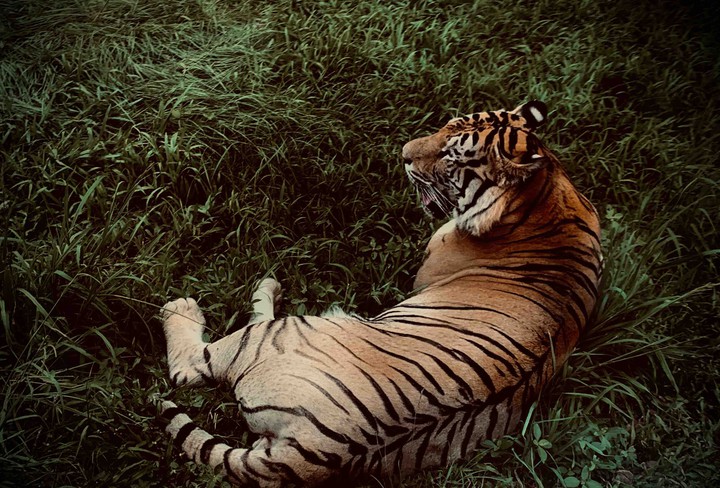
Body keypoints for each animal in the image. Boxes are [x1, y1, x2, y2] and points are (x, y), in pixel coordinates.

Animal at [158, 100, 603, 487]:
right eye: (446, 124)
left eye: (452, 157)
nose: (403, 154)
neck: (544, 196)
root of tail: (312, 454)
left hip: (280, 334)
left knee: (191, 366)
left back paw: (195, 303)